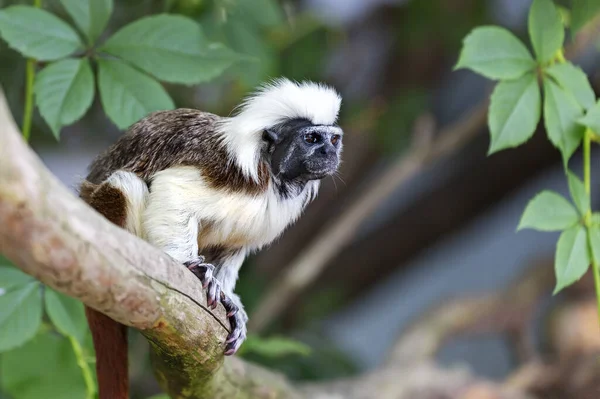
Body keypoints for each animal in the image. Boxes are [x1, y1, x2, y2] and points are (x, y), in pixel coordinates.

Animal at [77, 79, 344, 399]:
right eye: (312, 138)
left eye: (333, 140)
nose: (329, 153)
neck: (272, 175)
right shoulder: (226, 173)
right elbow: (172, 189)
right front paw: (191, 266)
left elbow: (233, 248)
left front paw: (231, 302)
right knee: (126, 183)